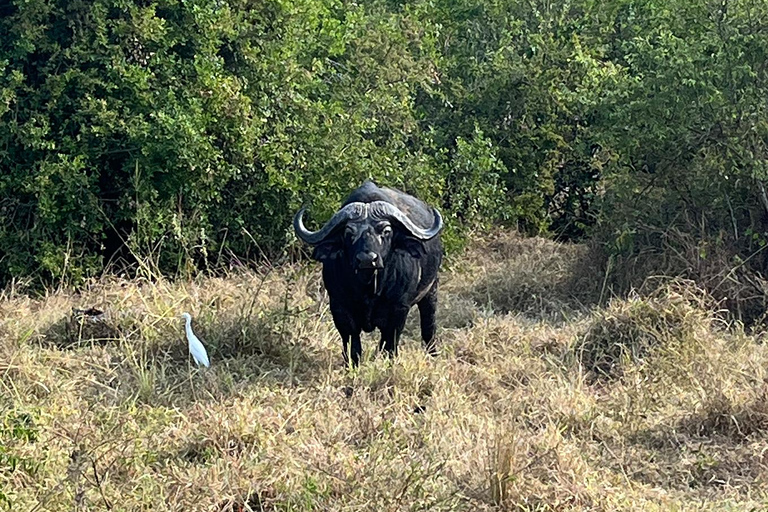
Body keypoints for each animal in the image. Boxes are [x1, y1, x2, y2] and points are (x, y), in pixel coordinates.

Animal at [296, 182, 450, 366]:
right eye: (348, 232)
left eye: (386, 230)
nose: (367, 259)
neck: (369, 288)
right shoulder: (339, 307)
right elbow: (352, 343)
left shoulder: (399, 308)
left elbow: (390, 343)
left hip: (431, 291)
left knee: (428, 323)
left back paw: (432, 353)